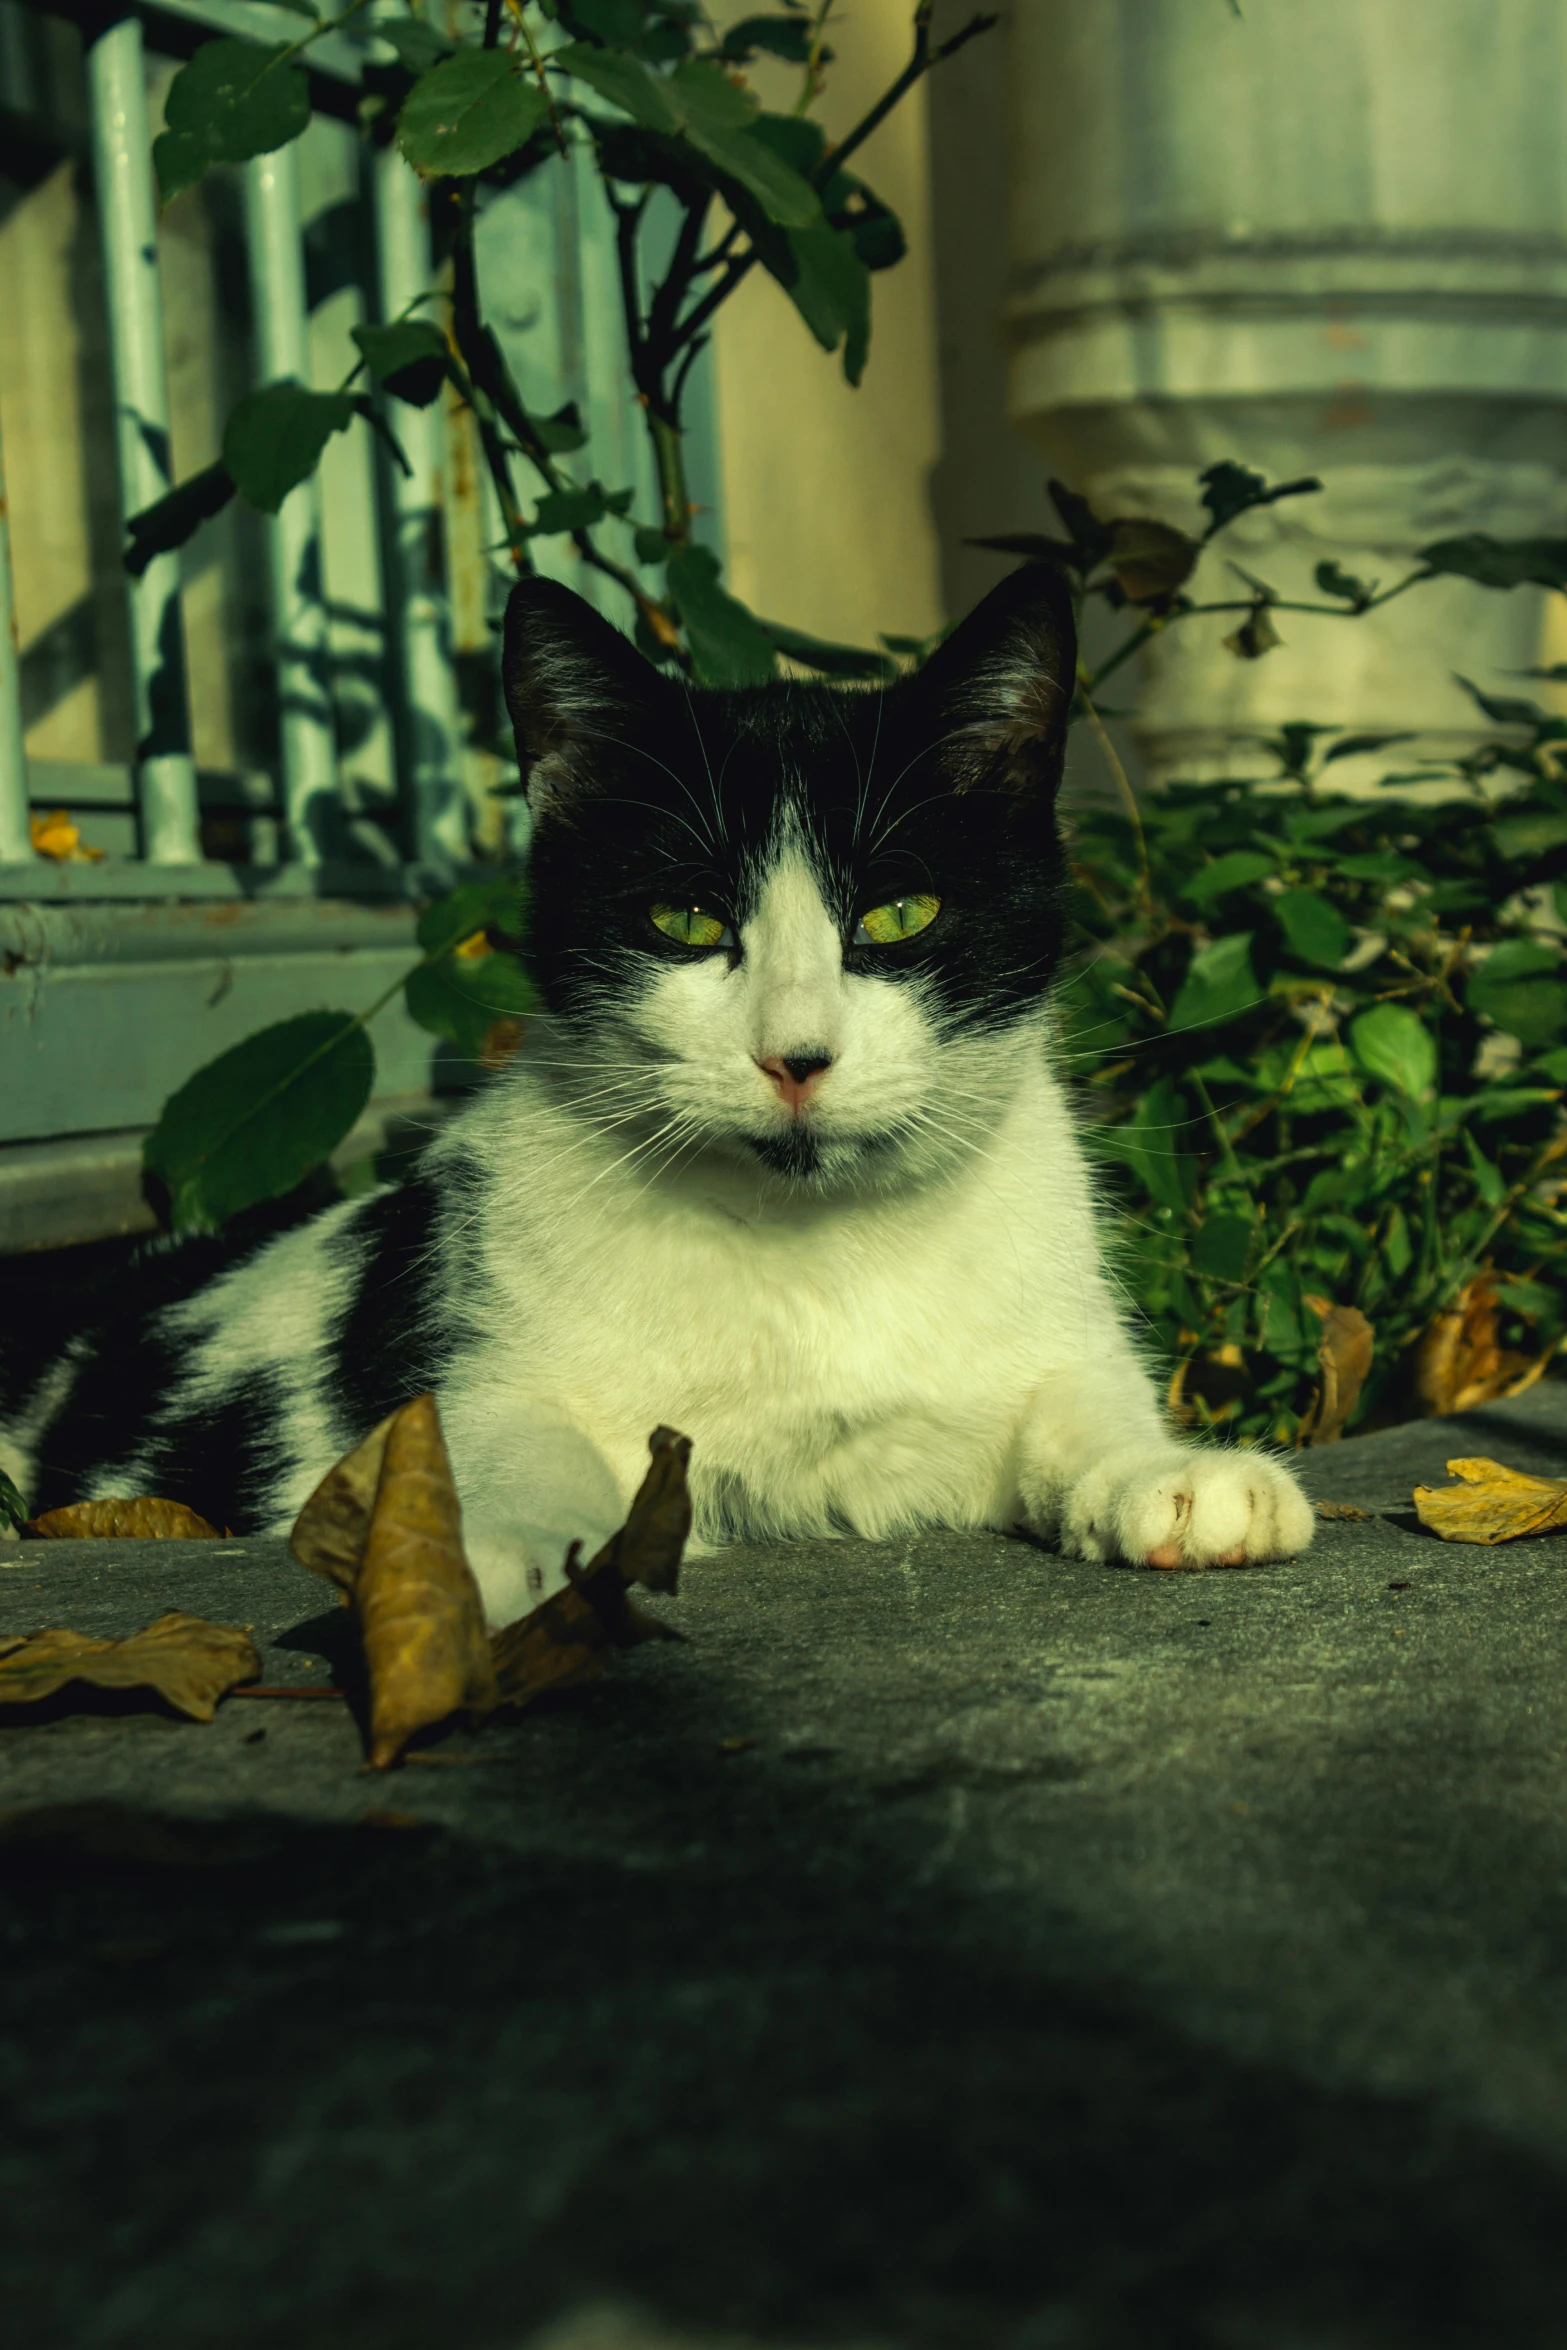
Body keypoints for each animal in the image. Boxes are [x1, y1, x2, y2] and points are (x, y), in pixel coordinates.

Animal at [3, 566, 1315, 1616]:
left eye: (901, 912)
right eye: (684, 918)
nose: (796, 1055)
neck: (815, 1250)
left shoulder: (1034, 1349)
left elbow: (1076, 1404)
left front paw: (1168, 1475)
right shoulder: (490, 1371)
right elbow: (521, 1447)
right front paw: (507, 1557)